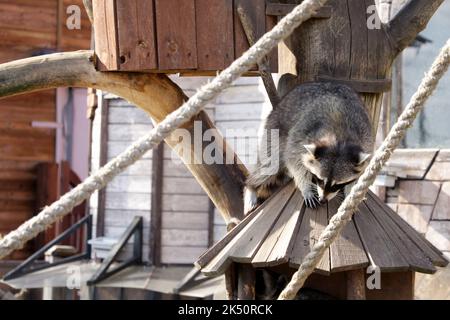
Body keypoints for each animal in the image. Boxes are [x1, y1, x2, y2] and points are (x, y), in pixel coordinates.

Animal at [244, 81, 374, 211]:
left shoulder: (366, 138)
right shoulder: (302, 132)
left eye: (338, 184)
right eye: (320, 180)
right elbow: (294, 160)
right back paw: (251, 186)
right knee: (270, 165)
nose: (323, 200)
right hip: (275, 128)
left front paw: (350, 194)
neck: (339, 137)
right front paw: (306, 187)